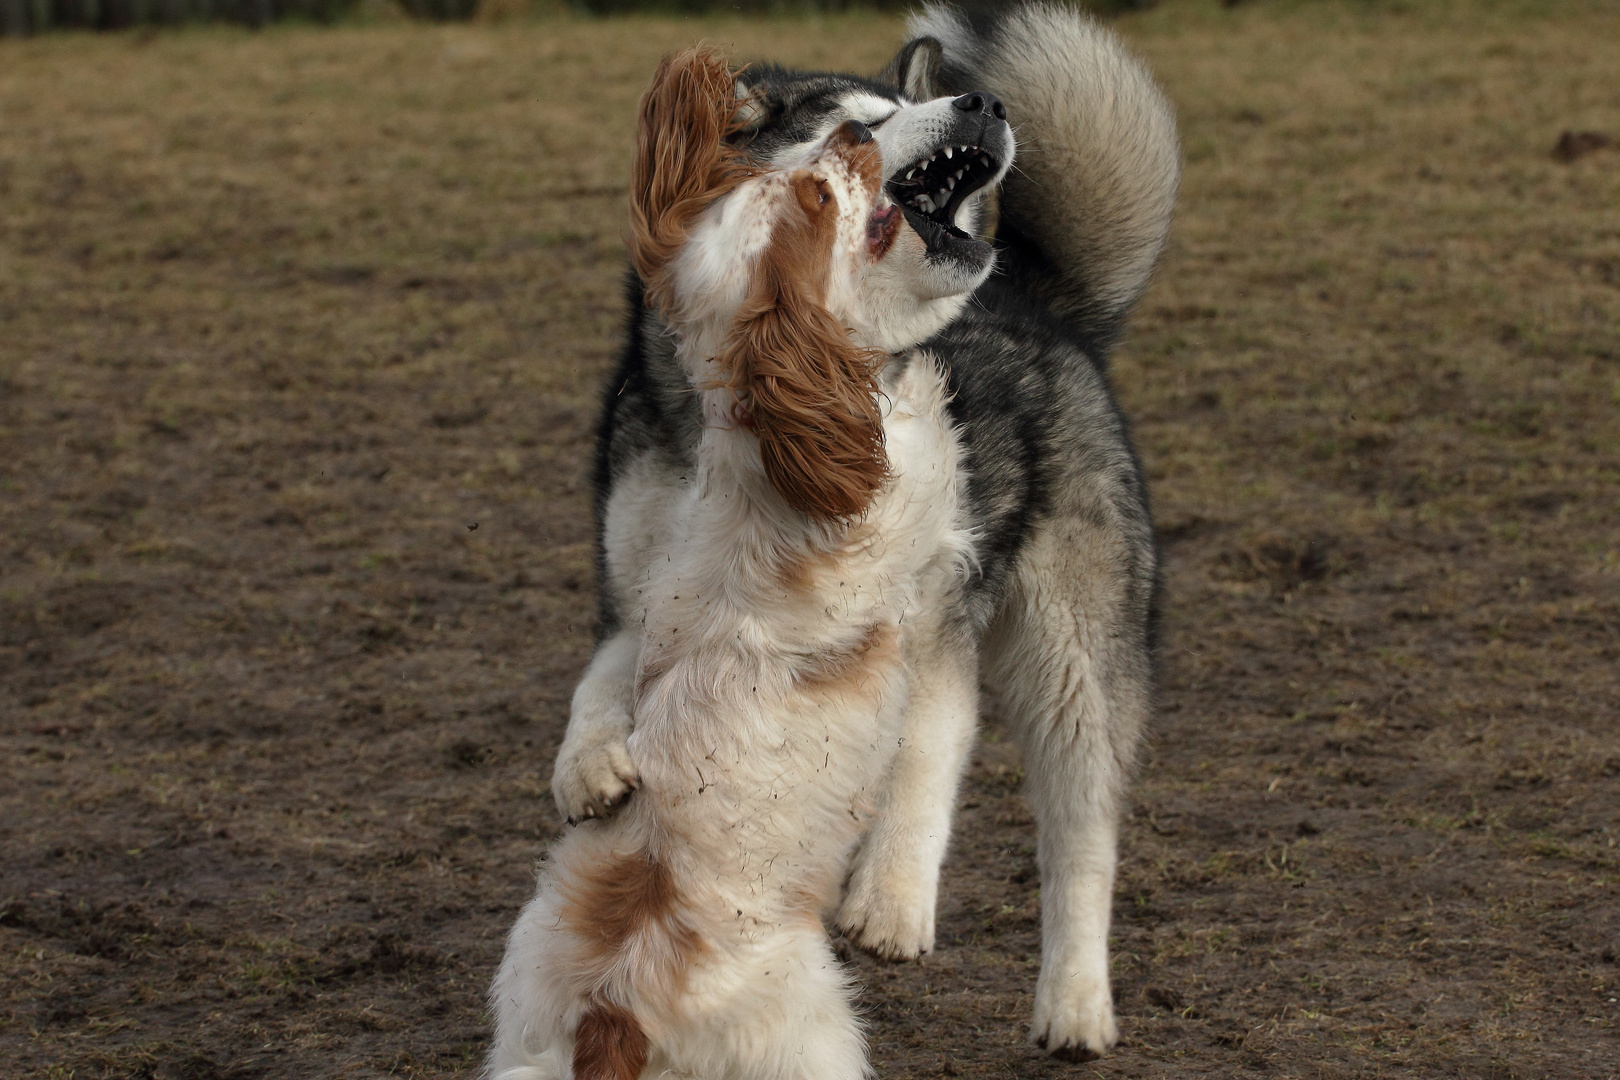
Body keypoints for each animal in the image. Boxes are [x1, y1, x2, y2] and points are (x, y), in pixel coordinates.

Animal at [486, 50, 972, 1080]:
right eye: (814, 198)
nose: (857, 135)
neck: (764, 455)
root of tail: (613, 1017)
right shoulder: (914, 500)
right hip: (816, 1037)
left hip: (521, 1012)